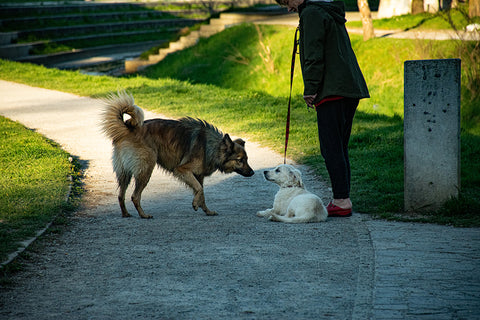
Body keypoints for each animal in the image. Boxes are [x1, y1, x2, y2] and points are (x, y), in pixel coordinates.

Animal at [99, 91, 253, 219]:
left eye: (247, 159)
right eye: (240, 160)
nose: (252, 173)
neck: (212, 147)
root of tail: (128, 129)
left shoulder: (198, 176)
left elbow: (202, 193)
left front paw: (207, 211)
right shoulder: (182, 170)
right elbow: (199, 189)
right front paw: (195, 205)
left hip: (125, 173)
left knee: (121, 196)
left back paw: (126, 214)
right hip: (146, 169)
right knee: (134, 196)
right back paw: (144, 215)